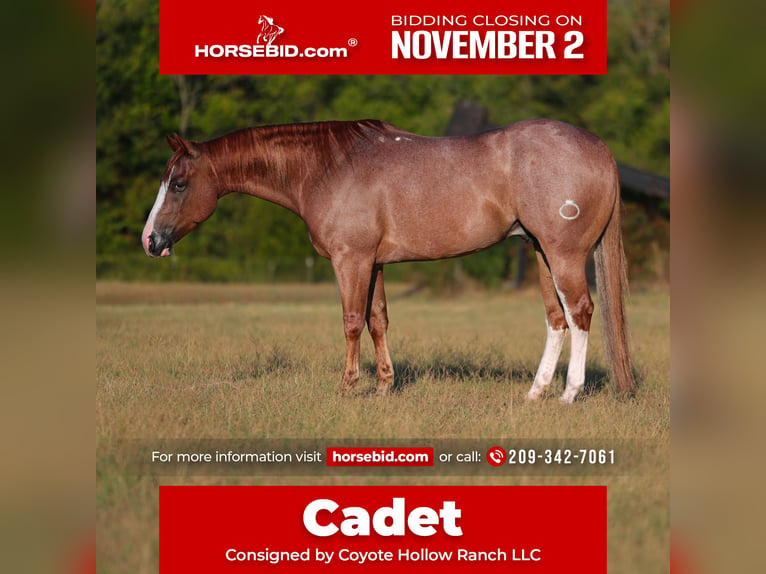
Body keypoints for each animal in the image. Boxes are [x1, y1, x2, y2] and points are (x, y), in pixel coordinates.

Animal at [141, 119, 636, 403]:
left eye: (179, 183)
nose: (150, 241)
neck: (328, 167)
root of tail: (599, 147)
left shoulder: (351, 260)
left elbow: (351, 321)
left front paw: (347, 387)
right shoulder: (374, 263)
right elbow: (377, 320)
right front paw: (383, 385)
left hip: (563, 255)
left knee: (580, 312)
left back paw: (569, 395)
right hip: (540, 252)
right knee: (557, 319)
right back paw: (536, 393)